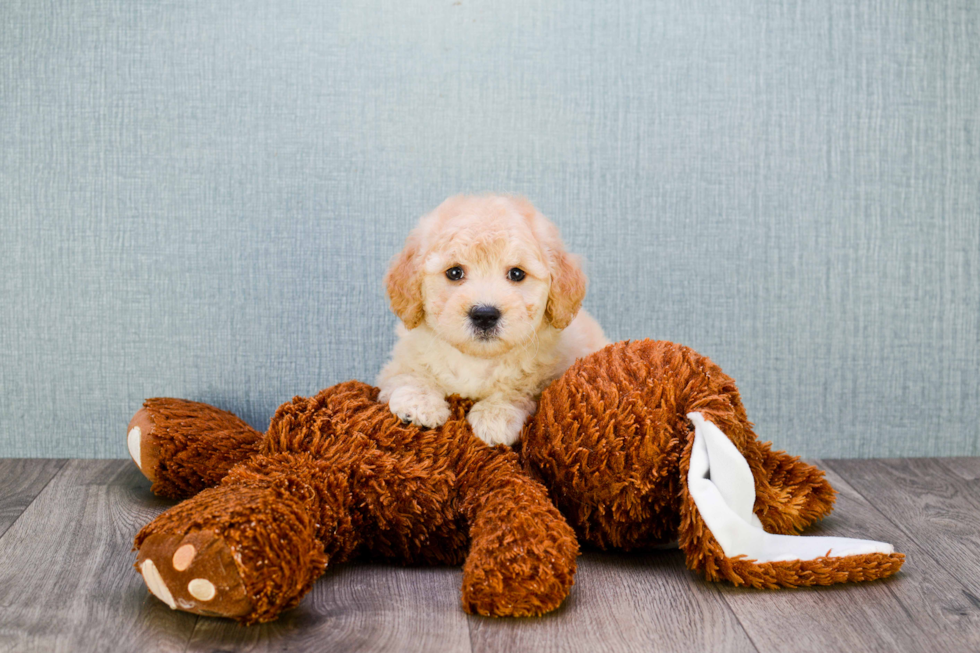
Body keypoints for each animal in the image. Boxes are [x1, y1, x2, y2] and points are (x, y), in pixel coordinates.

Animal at [378, 194, 608, 446]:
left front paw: (495, 416)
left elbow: (518, 389)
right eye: (454, 272)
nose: (485, 315)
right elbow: (407, 374)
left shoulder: (547, 376)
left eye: (517, 274)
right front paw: (418, 403)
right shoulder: (402, 359)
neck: (478, 361)